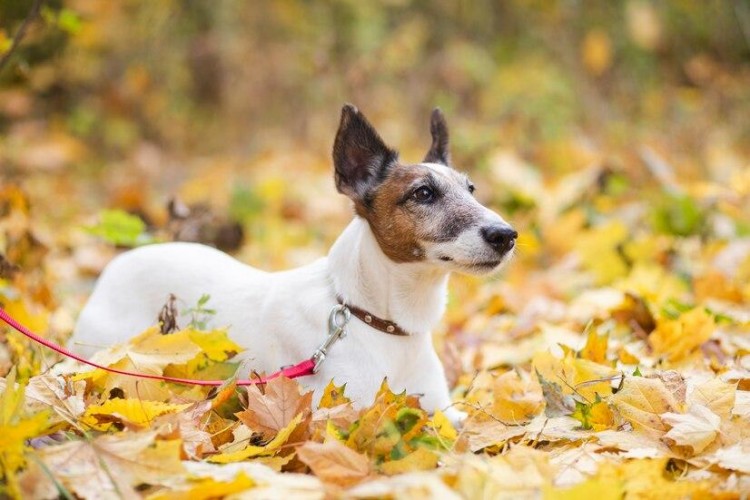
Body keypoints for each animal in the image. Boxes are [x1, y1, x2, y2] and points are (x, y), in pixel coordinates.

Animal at [70, 104, 516, 422]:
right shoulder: (339, 411)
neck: (375, 319)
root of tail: (125, 259)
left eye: (471, 189)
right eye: (423, 193)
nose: (507, 235)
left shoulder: (444, 411)